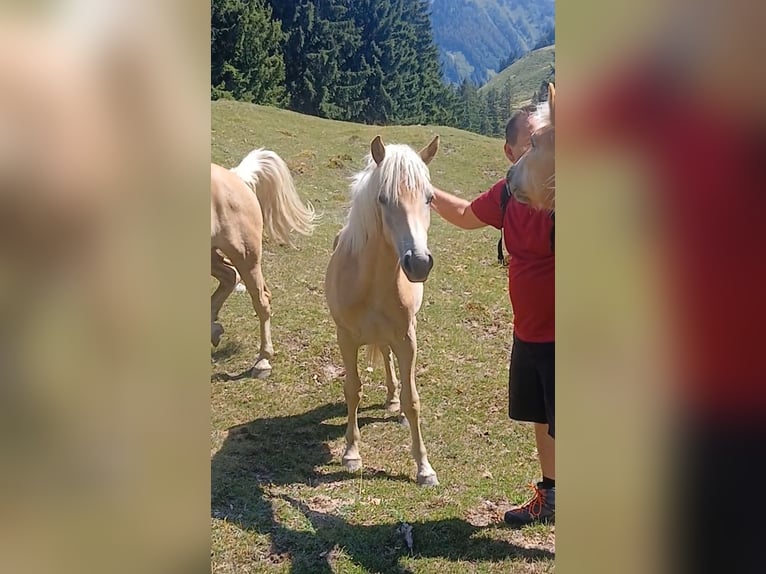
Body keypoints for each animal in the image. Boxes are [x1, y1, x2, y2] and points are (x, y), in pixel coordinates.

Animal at [325, 134, 440, 486]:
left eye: (430, 198)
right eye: (383, 199)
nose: (419, 263)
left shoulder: (406, 338)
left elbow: (413, 400)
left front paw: (424, 469)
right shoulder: (346, 338)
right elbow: (353, 391)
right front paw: (351, 454)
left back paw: (394, 405)